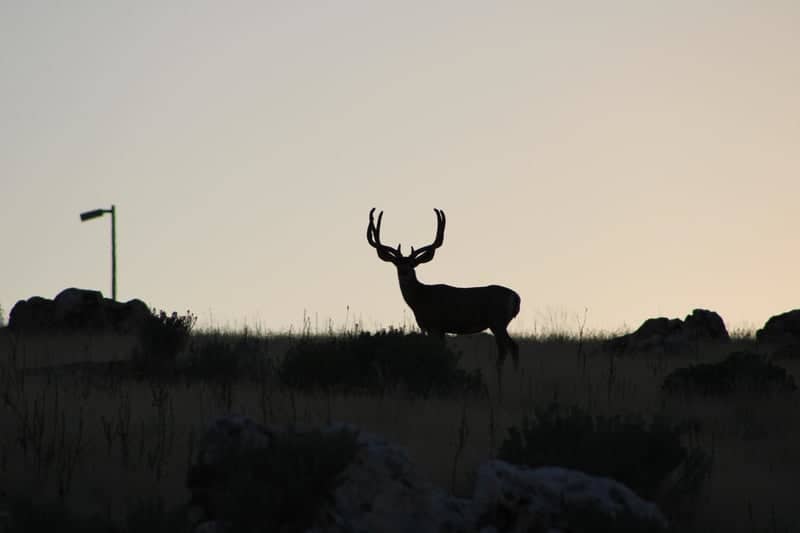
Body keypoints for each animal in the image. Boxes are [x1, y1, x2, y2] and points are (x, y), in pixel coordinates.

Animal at [366, 208, 521, 373]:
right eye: (396, 263)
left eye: (413, 264)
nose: (404, 271)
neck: (421, 298)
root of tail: (516, 297)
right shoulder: (433, 328)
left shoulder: (435, 325)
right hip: (498, 323)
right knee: (510, 347)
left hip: (498, 321)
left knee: (509, 347)